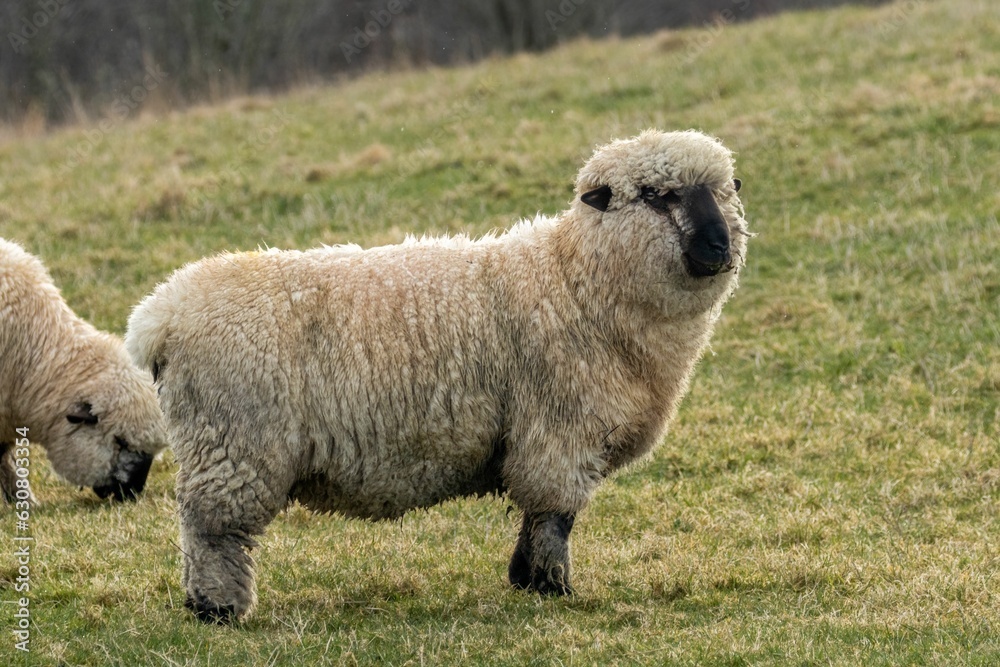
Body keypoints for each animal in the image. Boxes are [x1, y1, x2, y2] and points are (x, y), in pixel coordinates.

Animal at [126, 129, 749, 623]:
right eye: (655, 195)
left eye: (724, 190)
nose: (719, 246)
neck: (574, 280)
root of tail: (160, 316)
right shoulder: (558, 431)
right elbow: (555, 517)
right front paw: (552, 588)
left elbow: (537, 517)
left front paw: (526, 580)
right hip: (234, 443)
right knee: (212, 532)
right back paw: (218, 609)